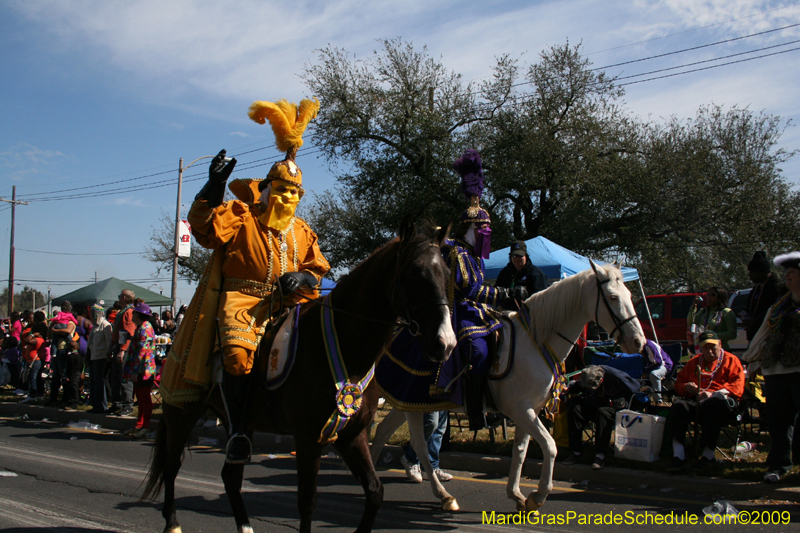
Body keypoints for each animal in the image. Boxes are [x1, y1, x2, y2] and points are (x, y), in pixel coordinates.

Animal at [141, 217, 454, 532]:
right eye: (414, 273)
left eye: (447, 273)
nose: (445, 343)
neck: (344, 344)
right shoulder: (308, 439)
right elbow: (307, 502)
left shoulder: (350, 436)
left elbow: (376, 492)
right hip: (182, 413)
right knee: (172, 465)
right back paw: (172, 522)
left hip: (240, 422)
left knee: (230, 476)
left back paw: (245, 526)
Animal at [372, 260, 648, 512]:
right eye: (613, 297)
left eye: (629, 295)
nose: (639, 342)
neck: (536, 340)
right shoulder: (520, 410)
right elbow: (550, 446)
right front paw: (538, 496)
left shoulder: (529, 411)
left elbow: (521, 450)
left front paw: (517, 495)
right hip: (412, 402)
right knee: (418, 444)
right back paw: (441, 495)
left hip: (404, 402)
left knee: (382, 432)